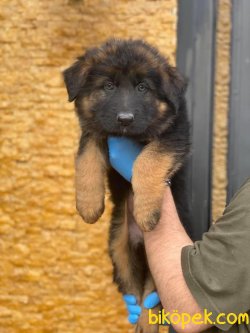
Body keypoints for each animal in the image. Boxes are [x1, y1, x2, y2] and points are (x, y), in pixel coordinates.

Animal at [63, 37, 190, 330]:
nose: (124, 119)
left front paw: (146, 212)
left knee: (152, 298)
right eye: (108, 86)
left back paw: (146, 324)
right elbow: (86, 157)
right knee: (135, 293)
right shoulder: (95, 129)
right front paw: (88, 204)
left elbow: (147, 160)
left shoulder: (175, 135)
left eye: (143, 87)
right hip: (119, 249)